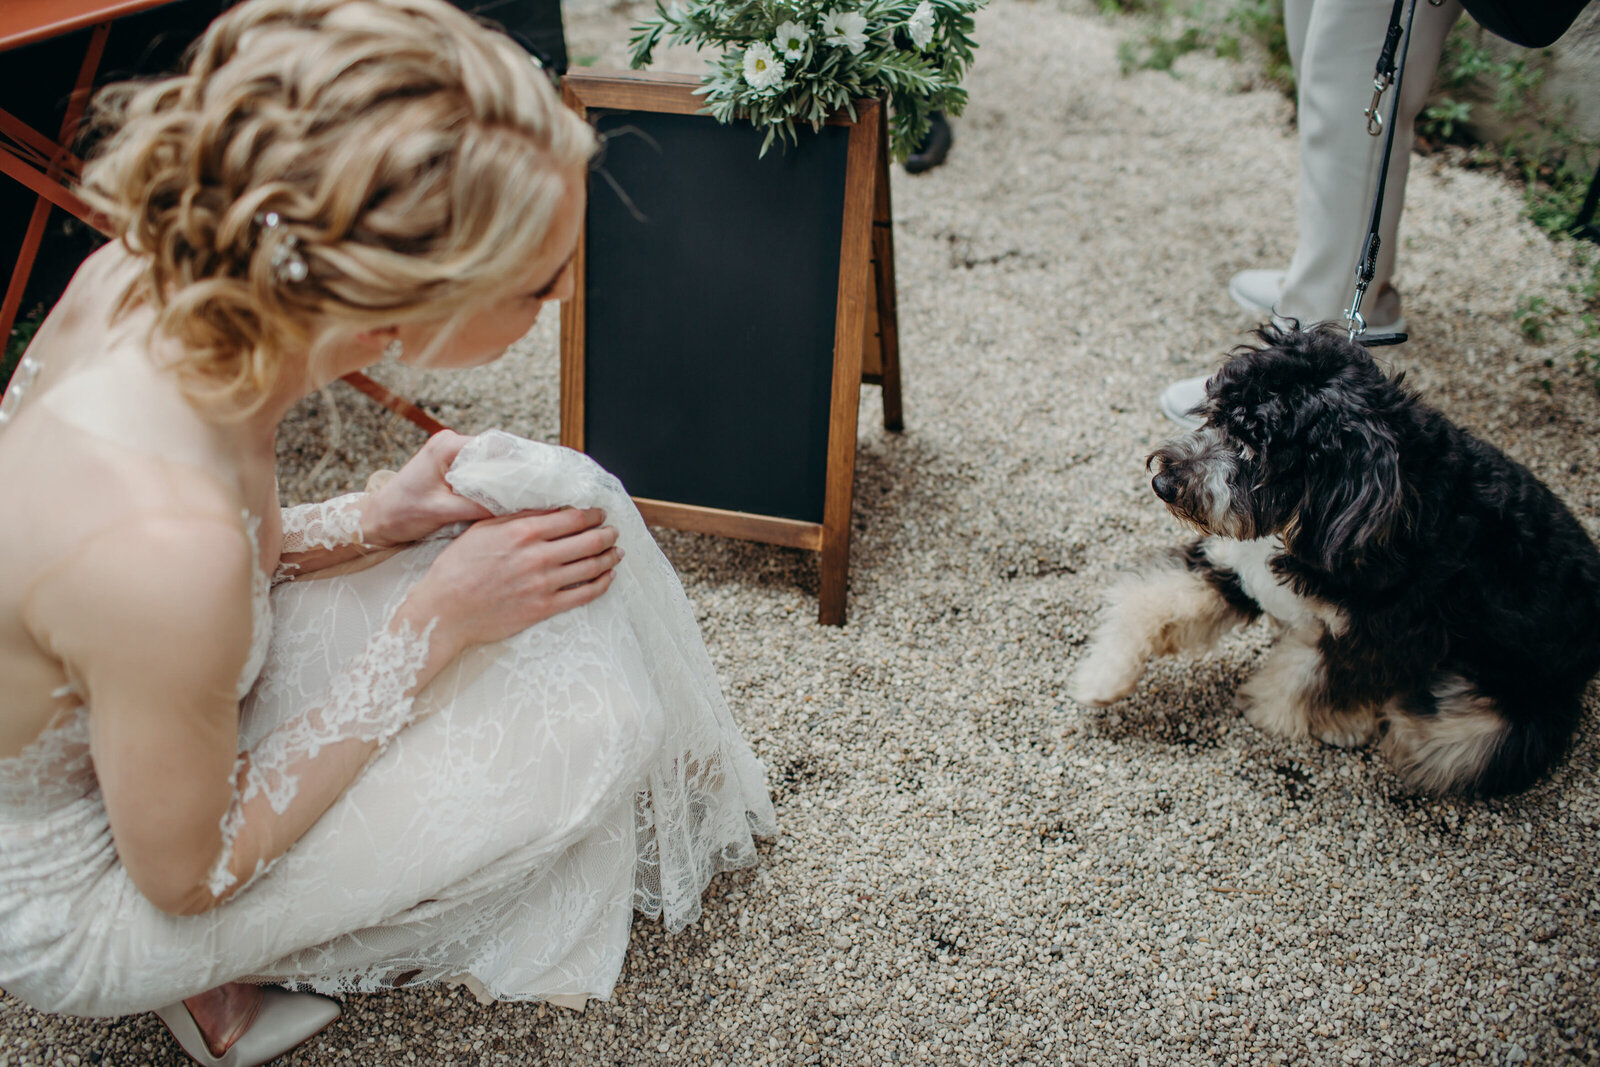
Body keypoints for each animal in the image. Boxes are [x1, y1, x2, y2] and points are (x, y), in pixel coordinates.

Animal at [1075, 323, 1600, 793]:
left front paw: (1272, 709)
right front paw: (1103, 675)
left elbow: (1310, 676)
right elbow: (1153, 600)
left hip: (1509, 703)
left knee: (1451, 742)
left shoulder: (1382, 635)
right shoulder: (1236, 569)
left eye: (1257, 447)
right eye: (1220, 415)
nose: (1163, 483)